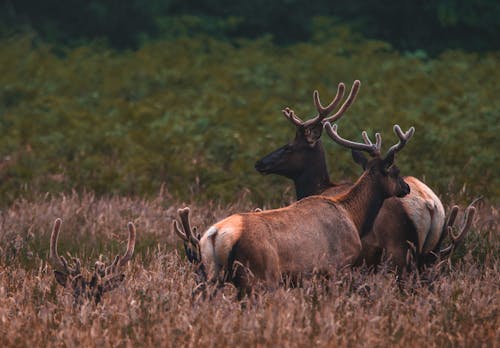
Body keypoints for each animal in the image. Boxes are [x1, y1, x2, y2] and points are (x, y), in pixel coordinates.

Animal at [193, 122, 412, 294]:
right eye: (395, 171)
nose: (406, 187)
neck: (353, 216)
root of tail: (215, 235)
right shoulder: (338, 266)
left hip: (213, 276)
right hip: (260, 275)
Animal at [254, 83, 460, 270]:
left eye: (289, 147)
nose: (259, 163)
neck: (320, 187)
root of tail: (430, 205)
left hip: (398, 251)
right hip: (431, 251)